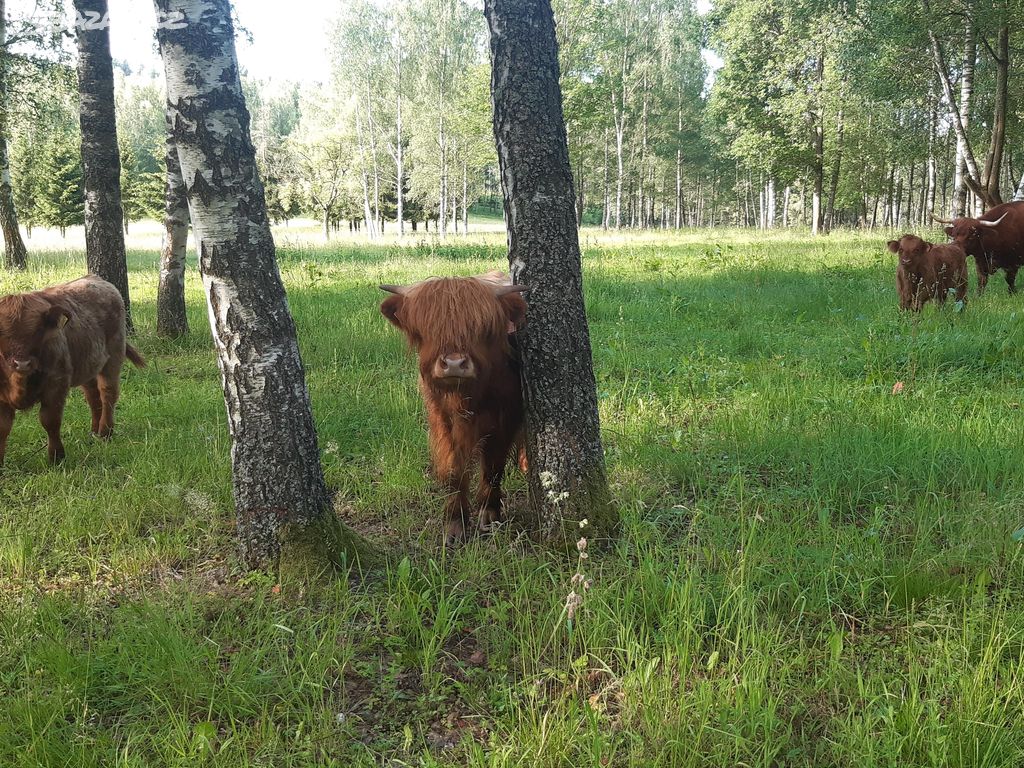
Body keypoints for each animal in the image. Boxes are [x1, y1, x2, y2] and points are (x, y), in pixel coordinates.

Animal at [0, 278, 144, 468]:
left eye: (38, 330)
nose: (22, 363)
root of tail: (96, 279)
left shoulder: (57, 384)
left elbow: (50, 420)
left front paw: (57, 457)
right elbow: (3, 427)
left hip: (113, 357)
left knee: (108, 394)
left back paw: (105, 432)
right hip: (88, 365)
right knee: (93, 397)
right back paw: (94, 432)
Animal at [382, 274, 532, 544]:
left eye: (481, 328)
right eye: (429, 328)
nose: (454, 364)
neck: (465, 398)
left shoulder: (505, 419)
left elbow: (494, 466)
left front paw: (489, 512)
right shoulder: (442, 420)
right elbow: (454, 470)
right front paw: (455, 524)